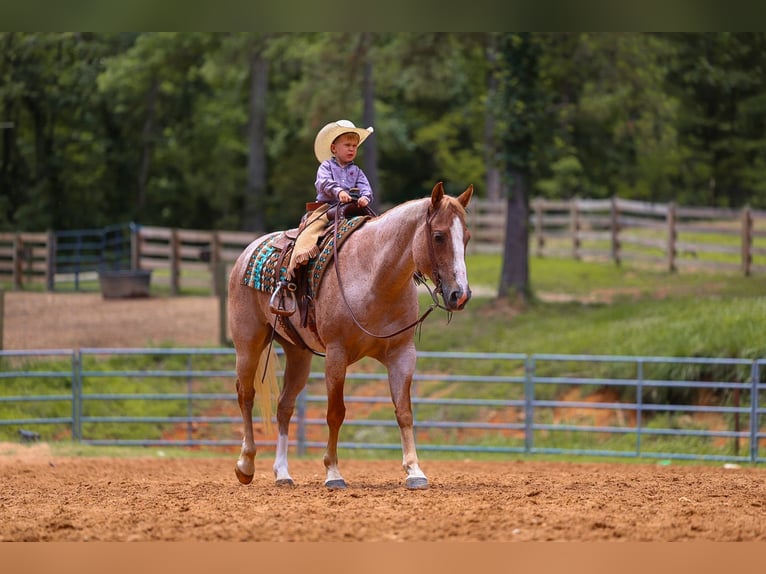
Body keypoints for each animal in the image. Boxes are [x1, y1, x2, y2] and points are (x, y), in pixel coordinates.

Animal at [227, 181, 474, 490]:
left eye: (466, 237)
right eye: (439, 236)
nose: (460, 295)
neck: (374, 277)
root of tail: (246, 252)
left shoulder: (402, 355)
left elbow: (404, 411)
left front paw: (415, 470)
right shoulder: (337, 354)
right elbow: (336, 413)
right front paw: (333, 472)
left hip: (298, 353)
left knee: (284, 405)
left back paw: (282, 473)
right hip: (248, 345)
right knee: (245, 395)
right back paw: (245, 464)